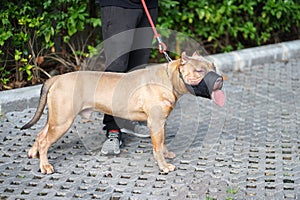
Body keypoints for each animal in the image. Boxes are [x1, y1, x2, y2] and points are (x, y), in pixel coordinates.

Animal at [21, 51, 225, 173]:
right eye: (199, 71)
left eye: (214, 67)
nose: (220, 79)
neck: (169, 78)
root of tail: (56, 78)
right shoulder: (156, 123)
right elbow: (157, 147)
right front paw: (164, 166)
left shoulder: (162, 122)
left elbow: (163, 142)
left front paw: (167, 154)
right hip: (62, 121)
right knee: (45, 141)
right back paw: (45, 165)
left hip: (56, 118)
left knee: (41, 135)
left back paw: (33, 153)